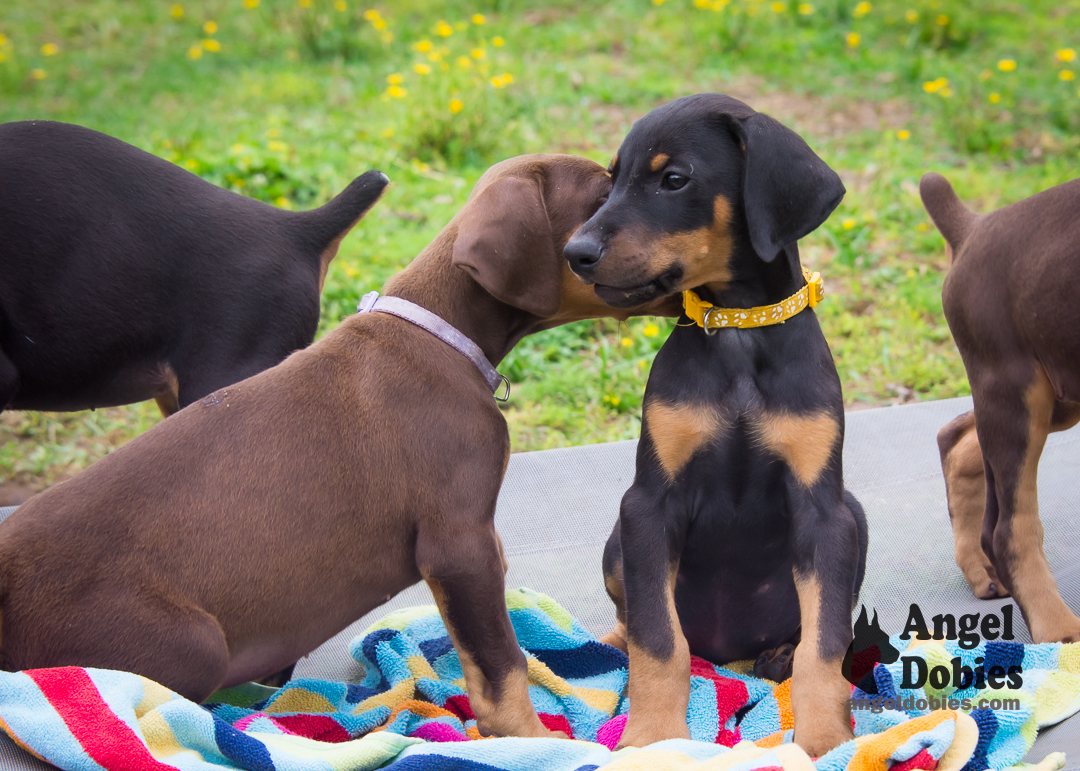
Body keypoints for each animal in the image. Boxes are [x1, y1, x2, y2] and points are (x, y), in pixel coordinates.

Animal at [0, 153, 673, 734]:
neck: (442, 332)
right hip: (191, 641)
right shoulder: (460, 544)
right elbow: (500, 672)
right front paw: (532, 740)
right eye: (602, 194)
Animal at [561, 94, 864, 751]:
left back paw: (779, 655)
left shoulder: (823, 510)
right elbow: (659, 641)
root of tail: (727, 657)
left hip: (855, 516)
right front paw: (651, 739)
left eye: (675, 179)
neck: (739, 332)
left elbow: (826, 643)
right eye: (611, 180)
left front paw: (827, 742)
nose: (575, 253)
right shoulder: (649, 504)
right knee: (637, 622)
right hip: (618, 541)